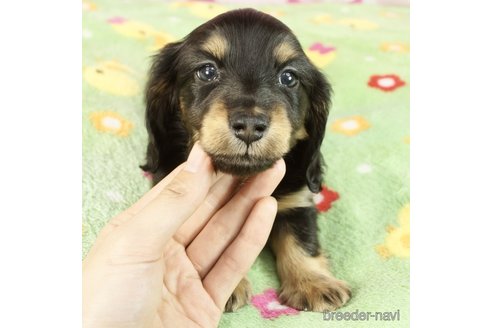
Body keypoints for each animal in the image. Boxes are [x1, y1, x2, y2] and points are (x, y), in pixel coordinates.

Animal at [140, 7, 352, 310]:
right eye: (207, 71)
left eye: (289, 78)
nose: (250, 125)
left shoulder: (296, 200)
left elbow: (302, 238)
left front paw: (314, 282)